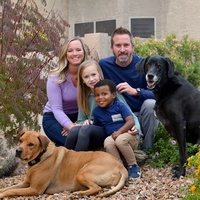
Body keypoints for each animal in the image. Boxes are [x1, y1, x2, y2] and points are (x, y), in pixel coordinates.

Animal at [0, 130, 128, 198]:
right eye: (21, 141)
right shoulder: (25, 183)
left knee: (97, 188)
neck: (40, 158)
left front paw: (2, 195)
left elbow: (11, 191)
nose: (18, 150)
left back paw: (79, 193)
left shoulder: (35, 189)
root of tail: (120, 165)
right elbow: (8, 187)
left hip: (82, 173)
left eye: (31, 144)